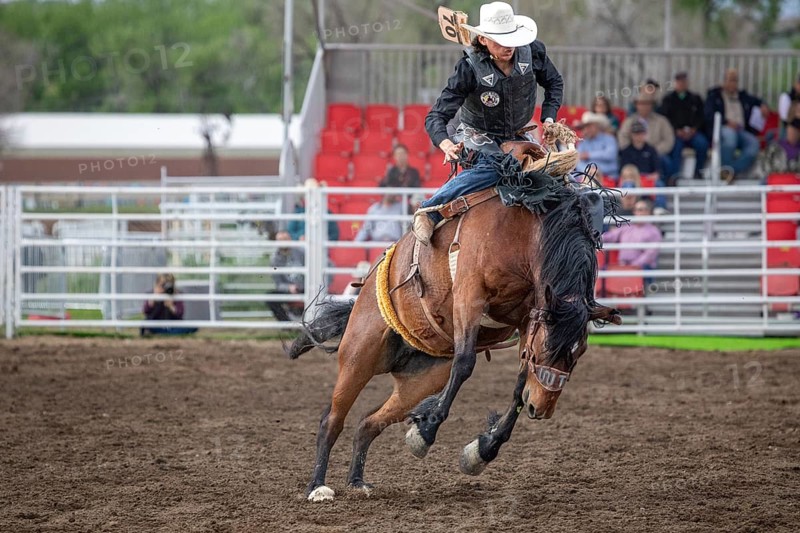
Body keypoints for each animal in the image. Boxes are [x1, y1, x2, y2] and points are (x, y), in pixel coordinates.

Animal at [288, 161, 621, 503]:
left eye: (579, 353)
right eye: (548, 347)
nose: (541, 407)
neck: (523, 236)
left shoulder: (527, 319)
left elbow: (519, 383)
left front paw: (482, 450)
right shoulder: (468, 296)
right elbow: (464, 364)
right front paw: (425, 432)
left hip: (419, 383)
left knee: (369, 422)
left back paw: (357, 481)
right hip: (359, 356)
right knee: (331, 420)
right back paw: (317, 487)